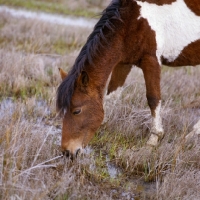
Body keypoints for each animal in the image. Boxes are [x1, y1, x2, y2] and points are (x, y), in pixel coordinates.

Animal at [56, 0, 200, 159]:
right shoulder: (124, 62)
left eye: (77, 111)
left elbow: (153, 99)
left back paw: (191, 135)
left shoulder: (151, 60)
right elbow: (112, 95)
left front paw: (153, 139)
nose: (67, 152)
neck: (133, 20)